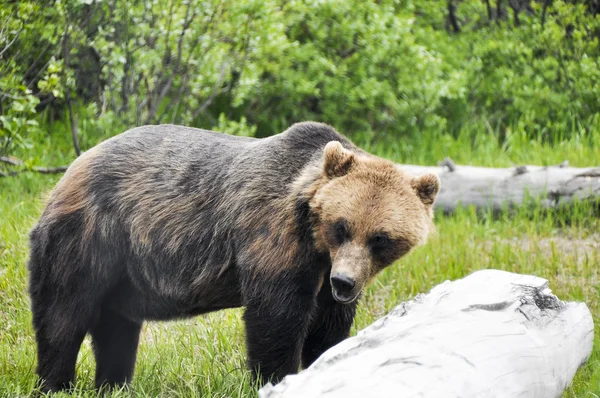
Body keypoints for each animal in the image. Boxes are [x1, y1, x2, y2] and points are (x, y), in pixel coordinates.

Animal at [28, 121, 438, 392]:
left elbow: (328, 326)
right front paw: (276, 378)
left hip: (124, 269)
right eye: (342, 226)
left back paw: (113, 383)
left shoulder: (325, 273)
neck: (316, 243)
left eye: (380, 238)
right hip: (90, 236)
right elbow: (276, 318)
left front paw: (327, 362)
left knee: (116, 327)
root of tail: (70, 169)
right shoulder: (273, 239)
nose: (345, 282)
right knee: (63, 315)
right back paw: (56, 383)